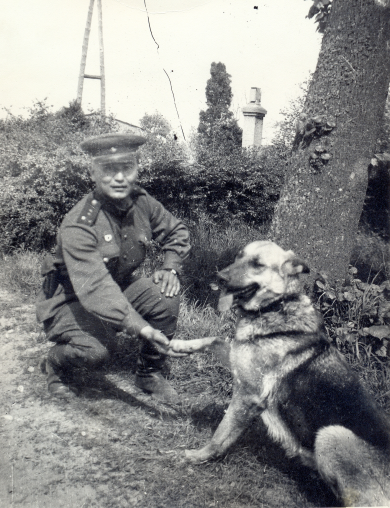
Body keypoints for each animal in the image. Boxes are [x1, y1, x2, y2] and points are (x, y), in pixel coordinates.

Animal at [184, 240, 390, 506]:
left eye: (258, 264)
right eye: (239, 257)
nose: (219, 277)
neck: (276, 305)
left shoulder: (248, 395)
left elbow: (221, 433)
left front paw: (199, 456)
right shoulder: (239, 363)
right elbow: (212, 339)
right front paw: (174, 345)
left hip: (331, 434)